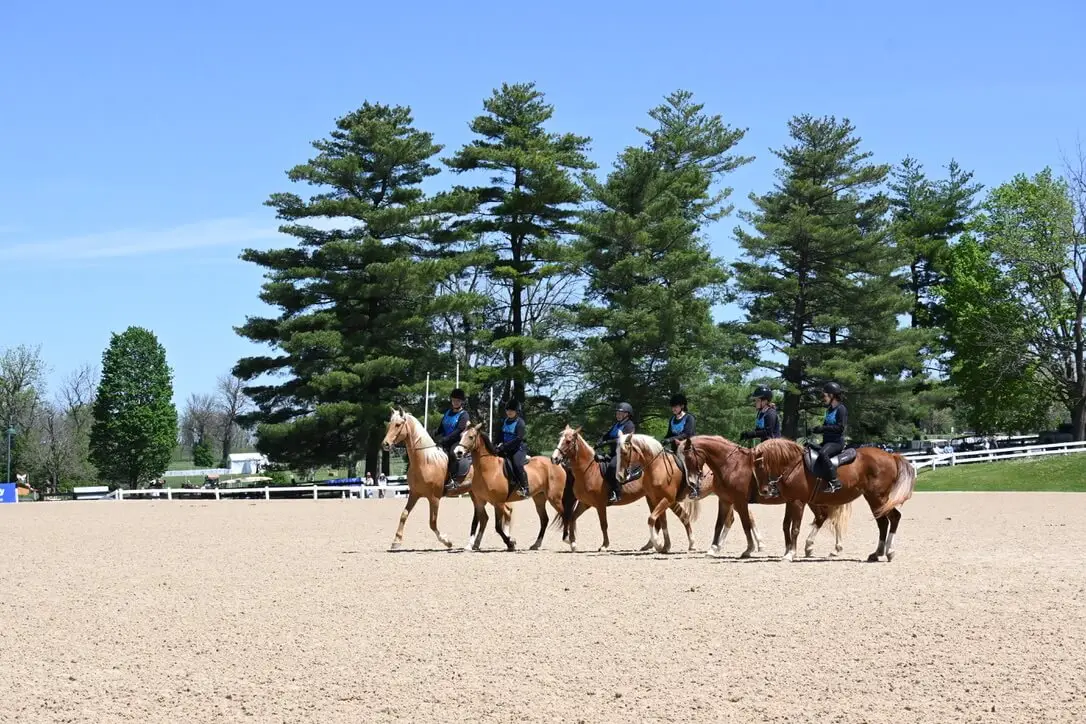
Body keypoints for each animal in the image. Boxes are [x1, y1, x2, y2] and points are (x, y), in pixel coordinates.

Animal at [380, 406, 475, 551]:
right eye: (389, 424)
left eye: (398, 425)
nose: (385, 444)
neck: (425, 461)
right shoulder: (414, 494)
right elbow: (404, 515)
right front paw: (396, 541)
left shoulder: (434, 498)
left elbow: (432, 523)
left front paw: (447, 541)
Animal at [453, 423, 568, 552]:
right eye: (461, 435)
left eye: (471, 437)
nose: (458, 452)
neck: (488, 469)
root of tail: (557, 463)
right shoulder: (479, 501)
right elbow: (476, 522)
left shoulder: (498, 502)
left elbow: (498, 527)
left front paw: (510, 543)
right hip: (539, 498)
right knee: (544, 520)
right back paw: (536, 544)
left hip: (554, 498)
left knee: (565, 515)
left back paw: (569, 540)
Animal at [677, 435, 853, 560]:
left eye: (688, 458)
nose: (691, 483)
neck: (731, 465)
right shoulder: (725, 500)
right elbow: (719, 524)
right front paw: (713, 549)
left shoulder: (740, 501)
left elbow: (746, 524)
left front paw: (749, 549)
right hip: (812, 500)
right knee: (825, 517)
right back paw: (814, 547)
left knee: (830, 518)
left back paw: (831, 548)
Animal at [737, 437, 914, 562]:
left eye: (761, 466)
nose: (765, 491)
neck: (793, 465)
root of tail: (891, 455)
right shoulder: (790, 501)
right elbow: (786, 526)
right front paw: (788, 551)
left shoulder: (798, 502)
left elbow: (795, 528)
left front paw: (790, 554)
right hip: (873, 498)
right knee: (883, 522)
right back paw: (877, 553)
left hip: (879, 497)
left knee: (893, 518)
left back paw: (889, 551)